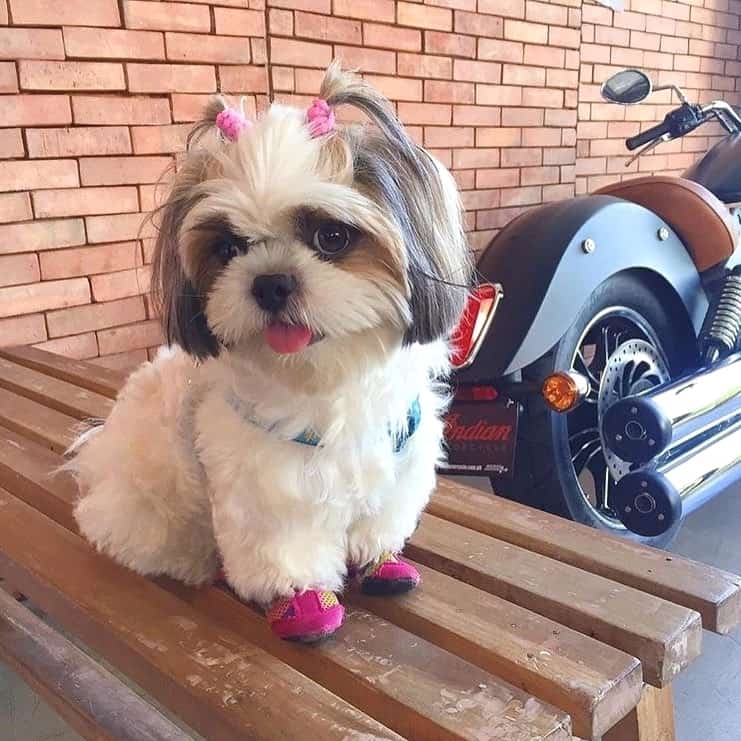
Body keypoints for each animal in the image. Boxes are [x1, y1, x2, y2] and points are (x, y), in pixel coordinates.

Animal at [71, 63, 474, 640]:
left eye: (332, 237)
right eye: (229, 248)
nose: (270, 282)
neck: (331, 380)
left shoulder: (399, 458)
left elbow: (380, 520)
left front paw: (380, 562)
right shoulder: (271, 489)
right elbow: (287, 552)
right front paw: (303, 603)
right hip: (153, 513)